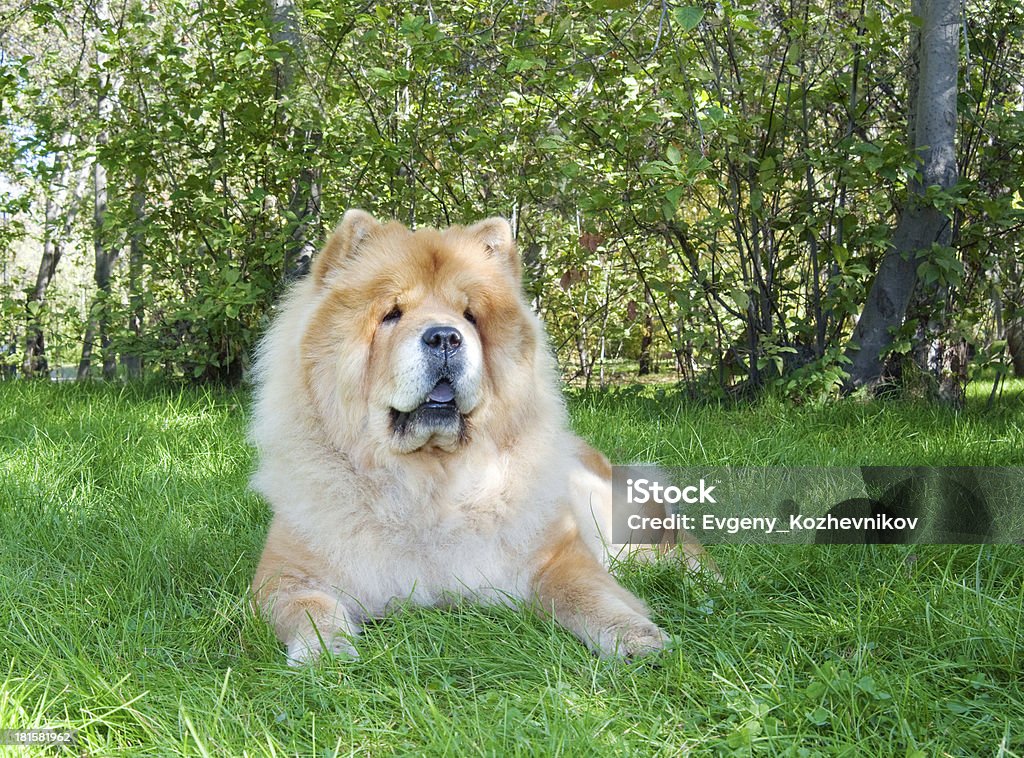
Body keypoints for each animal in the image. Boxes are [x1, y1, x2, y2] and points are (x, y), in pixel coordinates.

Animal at [249, 208, 712, 663]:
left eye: (469, 316)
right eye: (392, 313)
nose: (444, 336)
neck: (429, 486)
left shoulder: (557, 555)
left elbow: (586, 592)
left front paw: (636, 637)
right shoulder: (285, 572)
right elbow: (306, 605)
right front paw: (325, 649)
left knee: (672, 544)